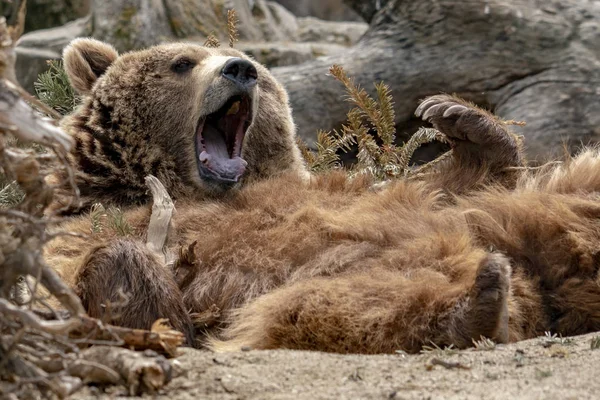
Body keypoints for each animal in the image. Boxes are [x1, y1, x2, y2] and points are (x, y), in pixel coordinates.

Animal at [44, 38, 600, 354]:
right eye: (182, 63)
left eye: (261, 71)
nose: (240, 68)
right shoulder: (80, 227)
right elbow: (92, 278)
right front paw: (136, 269)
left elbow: (423, 186)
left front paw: (462, 122)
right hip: (333, 283)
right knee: (336, 308)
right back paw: (479, 301)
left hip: (521, 213)